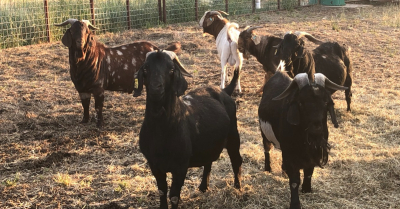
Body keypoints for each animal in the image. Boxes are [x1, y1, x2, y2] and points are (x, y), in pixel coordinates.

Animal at [133, 49, 242, 208]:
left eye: (171, 69)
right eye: (146, 68)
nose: (155, 87)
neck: (161, 129)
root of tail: (224, 91)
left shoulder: (180, 166)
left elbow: (173, 195)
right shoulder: (154, 164)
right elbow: (162, 191)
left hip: (234, 135)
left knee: (236, 160)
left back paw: (238, 188)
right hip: (208, 143)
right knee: (209, 161)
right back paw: (203, 187)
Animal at [260, 61, 346, 208]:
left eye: (325, 102)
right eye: (301, 102)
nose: (316, 127)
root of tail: (278, 73)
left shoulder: (312, 153)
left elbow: (309, 171)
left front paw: (307, 189)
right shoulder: (290, 154)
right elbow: (294, 180)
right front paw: (295, 203)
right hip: (264, 133)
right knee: (267, 149)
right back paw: (268, 169)